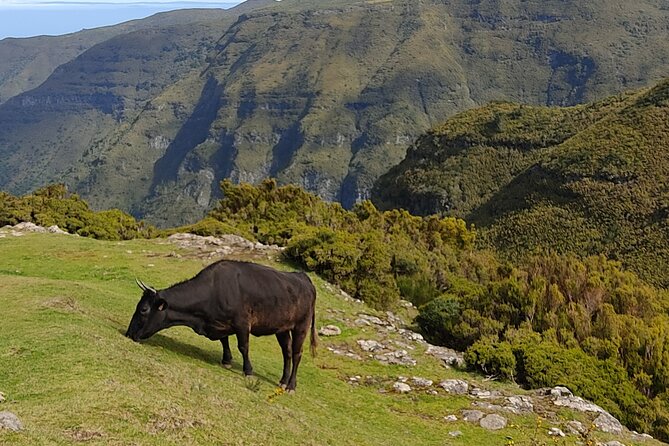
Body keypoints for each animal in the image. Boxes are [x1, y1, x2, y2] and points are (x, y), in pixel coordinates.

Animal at [126, 260, 318, 392]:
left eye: (143, 309)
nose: (128, 333)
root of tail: (303, 277)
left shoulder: (242, 323)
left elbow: (243, 347)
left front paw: (248, 371)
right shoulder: (220, 323)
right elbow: (224, 341)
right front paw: (226, 360)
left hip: (301, 326)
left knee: (297, 354)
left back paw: (291, 385)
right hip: (282, 328)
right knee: (287, 352)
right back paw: (283, 381)